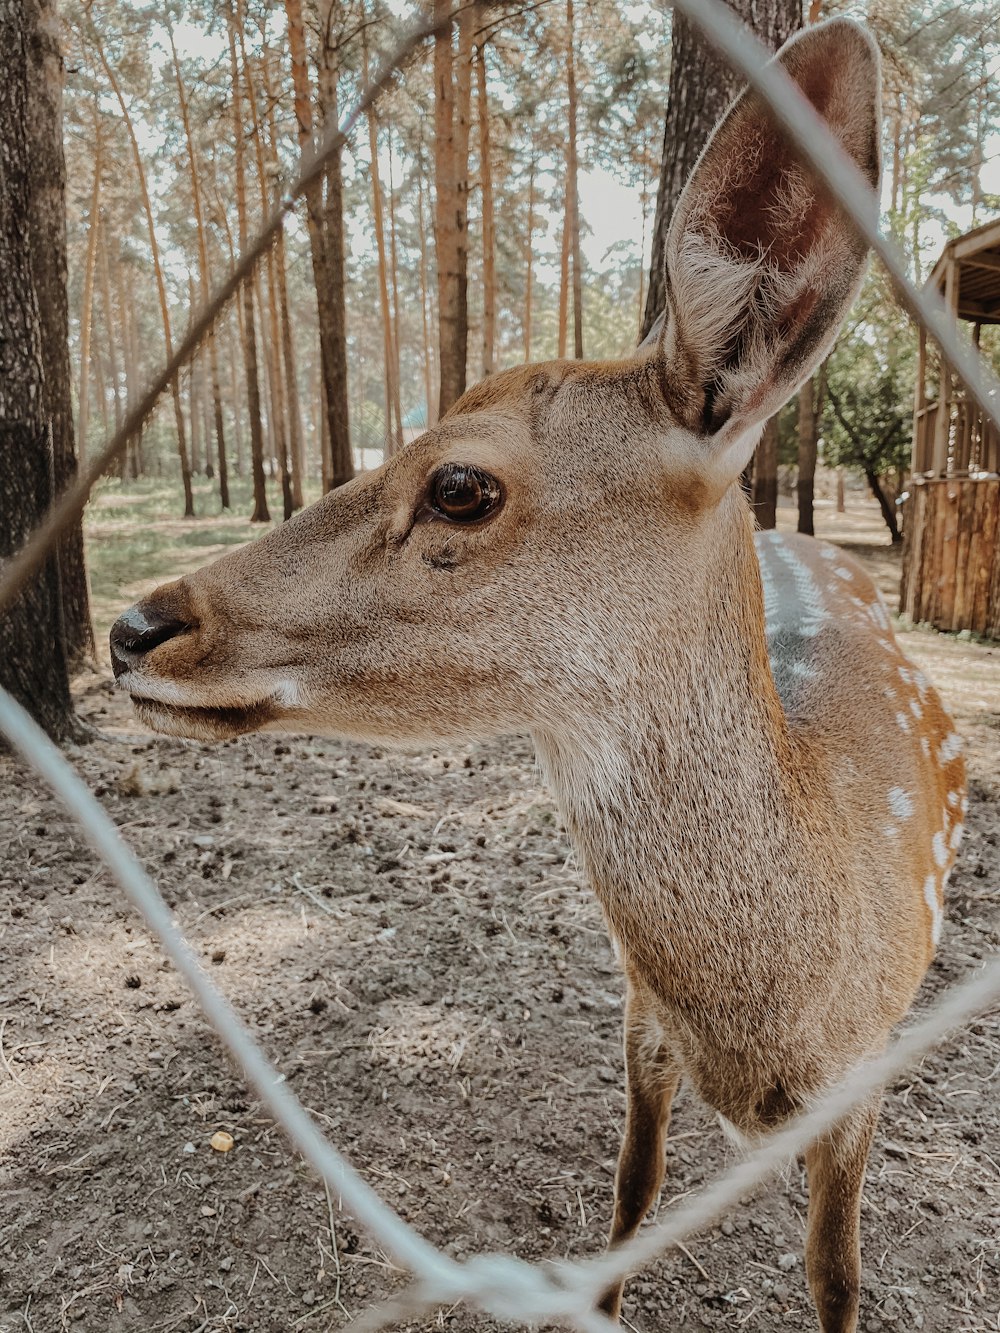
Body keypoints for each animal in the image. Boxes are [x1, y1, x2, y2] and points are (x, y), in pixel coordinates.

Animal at [111, 20, 970, 1333]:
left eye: (461, 485)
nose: (133, 625)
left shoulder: (869, 1067)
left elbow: (837, 1274)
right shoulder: (639, 1012)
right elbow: (628, 1186)